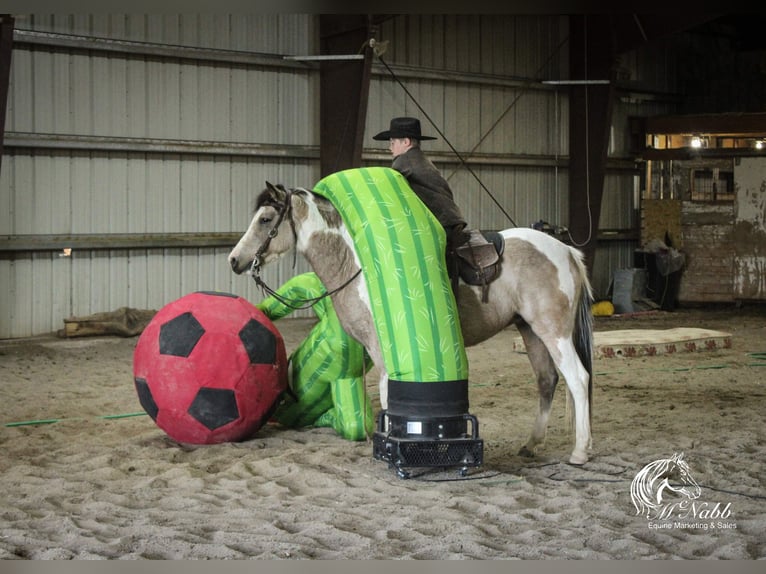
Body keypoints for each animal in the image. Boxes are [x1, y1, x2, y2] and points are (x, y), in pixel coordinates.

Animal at [225, 184, 596, 468]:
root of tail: (566, 251)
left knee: (577, 378)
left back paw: (579, 451)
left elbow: (388, 395)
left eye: (266, 219)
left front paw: (390, 445)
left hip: (553, 331)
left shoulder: (381, 348)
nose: (234, 260)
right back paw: (531, 445)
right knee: (547, 380)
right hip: (529, 330)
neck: (356, 266)